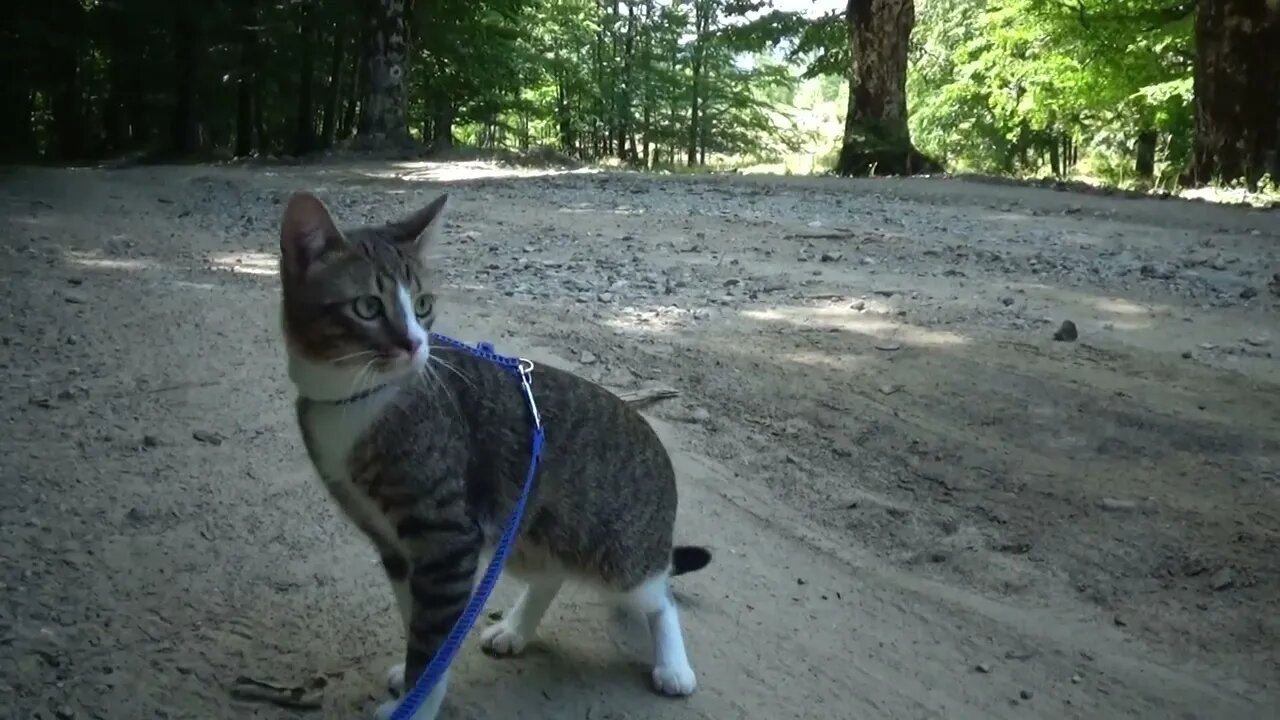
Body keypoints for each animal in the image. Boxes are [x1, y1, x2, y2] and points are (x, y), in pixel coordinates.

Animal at [277, 190, 711, 717]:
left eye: (422, 305)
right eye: (366, 307)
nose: (414, 344)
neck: (358, 398)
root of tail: (654, 442)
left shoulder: (446, 539)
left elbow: (434, 640)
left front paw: (418, 703)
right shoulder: (398, 547)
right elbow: (420, 624)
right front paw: (414, 683)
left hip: (617, 555)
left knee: (658, 592)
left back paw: (672, 665)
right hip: (523, 527)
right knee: (550, 573)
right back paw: (516, 629)